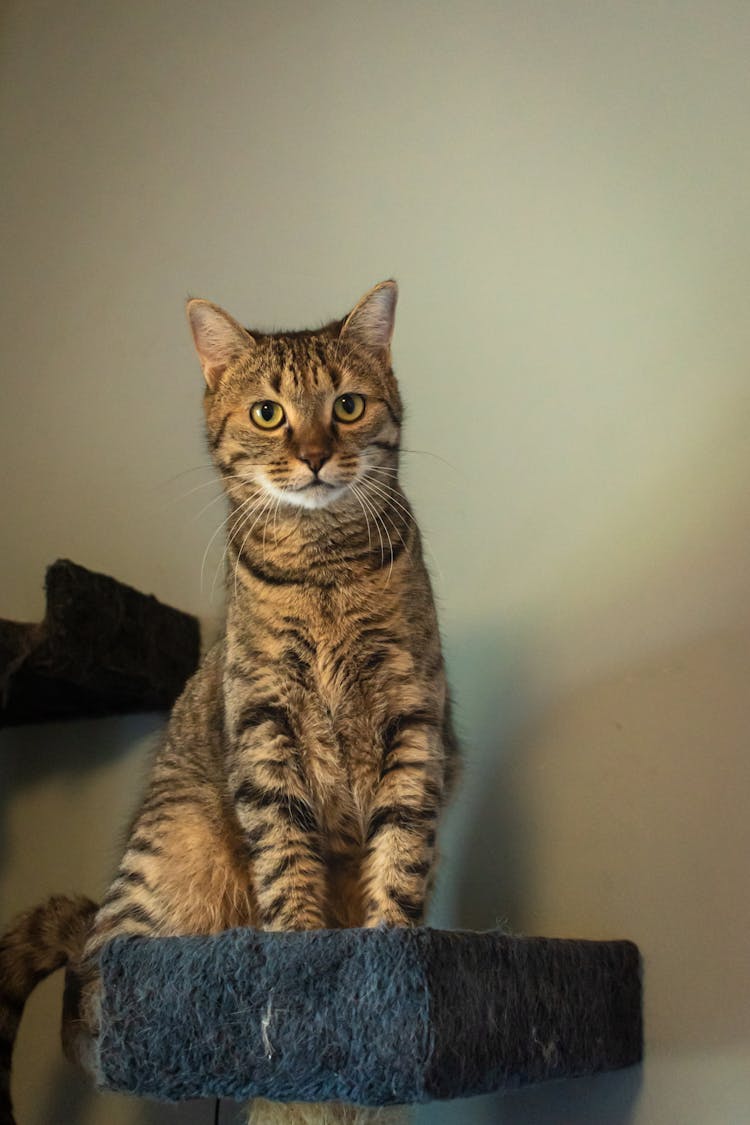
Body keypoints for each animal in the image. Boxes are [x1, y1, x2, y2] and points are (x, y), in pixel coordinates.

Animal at [0, 281, 458, 1125]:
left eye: (347, 405)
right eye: (269, 413)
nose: (313, 454)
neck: (323, 566)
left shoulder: (413, 715)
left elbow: (401, 853)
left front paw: (388, 961)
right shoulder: (263, 721)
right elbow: (285, 856)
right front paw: (303, 952)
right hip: (172, 856)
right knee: (93, 989)